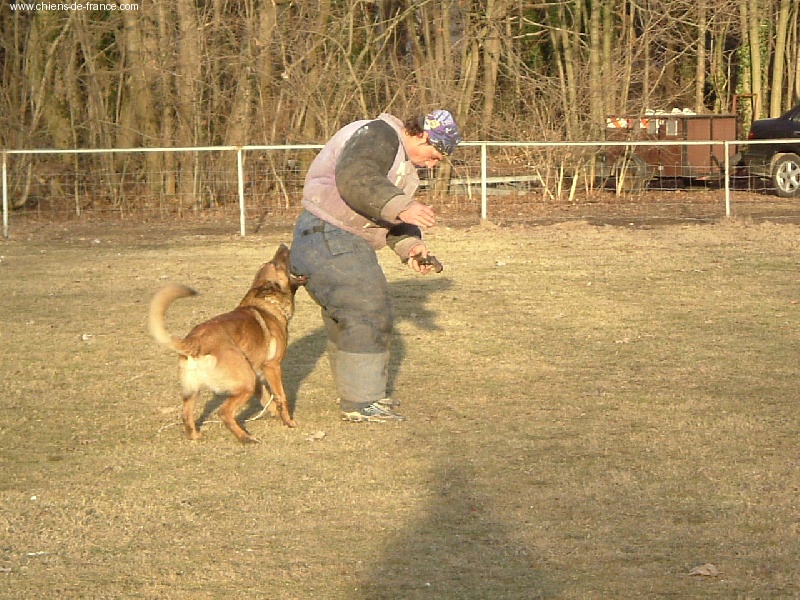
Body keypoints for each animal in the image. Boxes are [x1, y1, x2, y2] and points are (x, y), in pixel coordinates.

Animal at [147, 241, 306, 442]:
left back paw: (196, 436)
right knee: (224, 412)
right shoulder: (272, 367)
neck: (268, 303)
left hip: (195, 391)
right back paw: (245, 438)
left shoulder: (258, 379)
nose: (284, 245)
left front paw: (277, 416)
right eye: (276, 264)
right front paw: (289, 422)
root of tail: (193, 341)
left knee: (186, 415)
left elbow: (266, 399)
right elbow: (280, 397)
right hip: (246, 382)